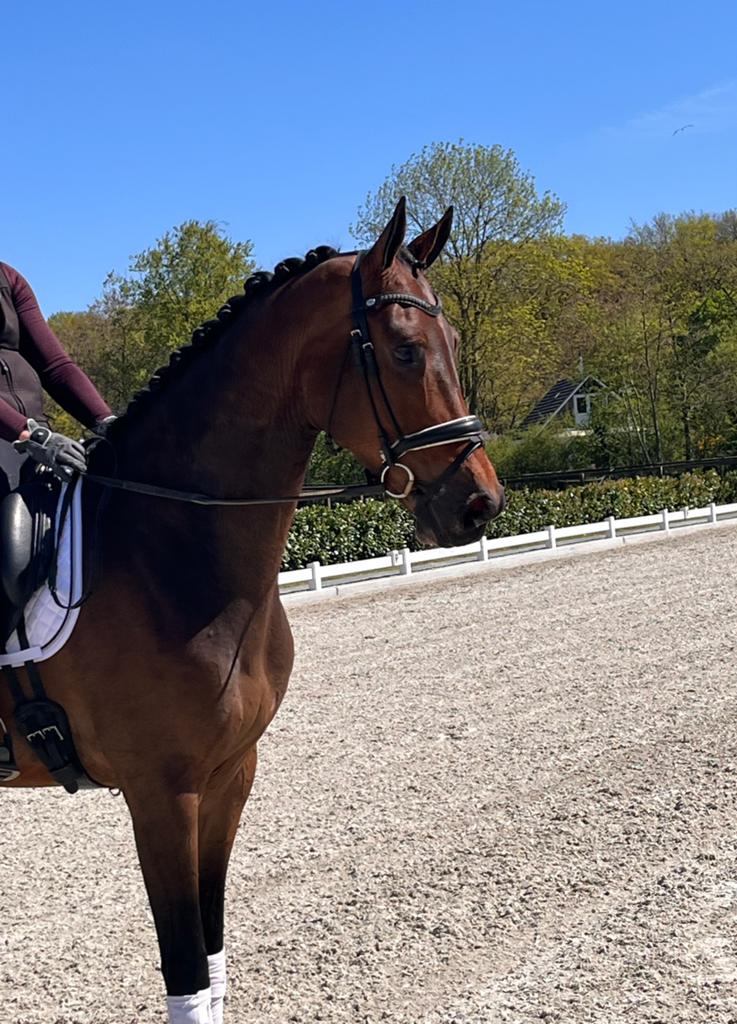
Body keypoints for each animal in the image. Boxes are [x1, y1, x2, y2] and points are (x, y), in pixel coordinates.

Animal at [0, 198, 504, 1023]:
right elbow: (184, 975)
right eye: (403, 352)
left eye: (454, 344)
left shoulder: (230, 778)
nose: (478, 504)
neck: (174, 547)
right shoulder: (162, 796)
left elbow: (212, 962)